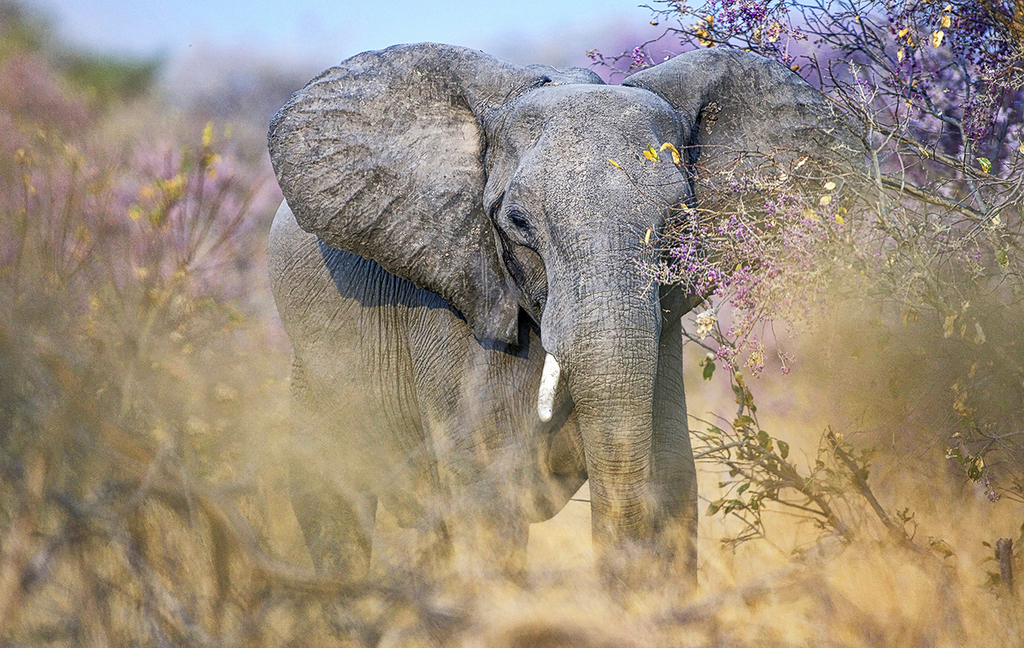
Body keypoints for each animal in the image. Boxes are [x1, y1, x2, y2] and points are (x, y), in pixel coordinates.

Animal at [266, 43, 861, 584]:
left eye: (677, 222)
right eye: (519, 222)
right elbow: (488, 494)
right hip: (311, 382)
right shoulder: (455, 305)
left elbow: (672, 481)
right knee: (333, 512)